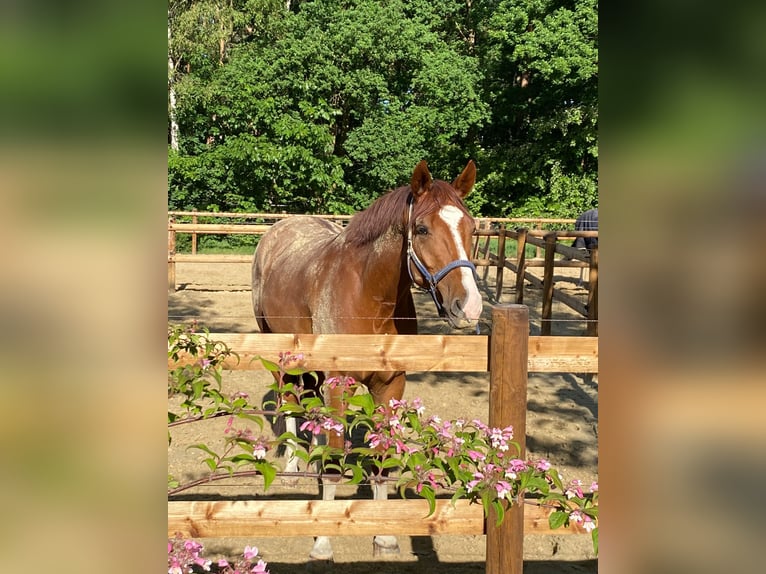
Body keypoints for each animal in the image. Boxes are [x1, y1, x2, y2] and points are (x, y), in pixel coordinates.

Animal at [252, 161, 484, 564]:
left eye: (472, 228)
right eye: (422, 229)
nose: (468, 307)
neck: (368, 295)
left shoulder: (391, 385)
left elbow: (382, 458)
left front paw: (385, 536)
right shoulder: (338, 382)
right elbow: (333, 464)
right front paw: (323, 543)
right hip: (280, 352)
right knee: (291, 403)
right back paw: (294, 466)